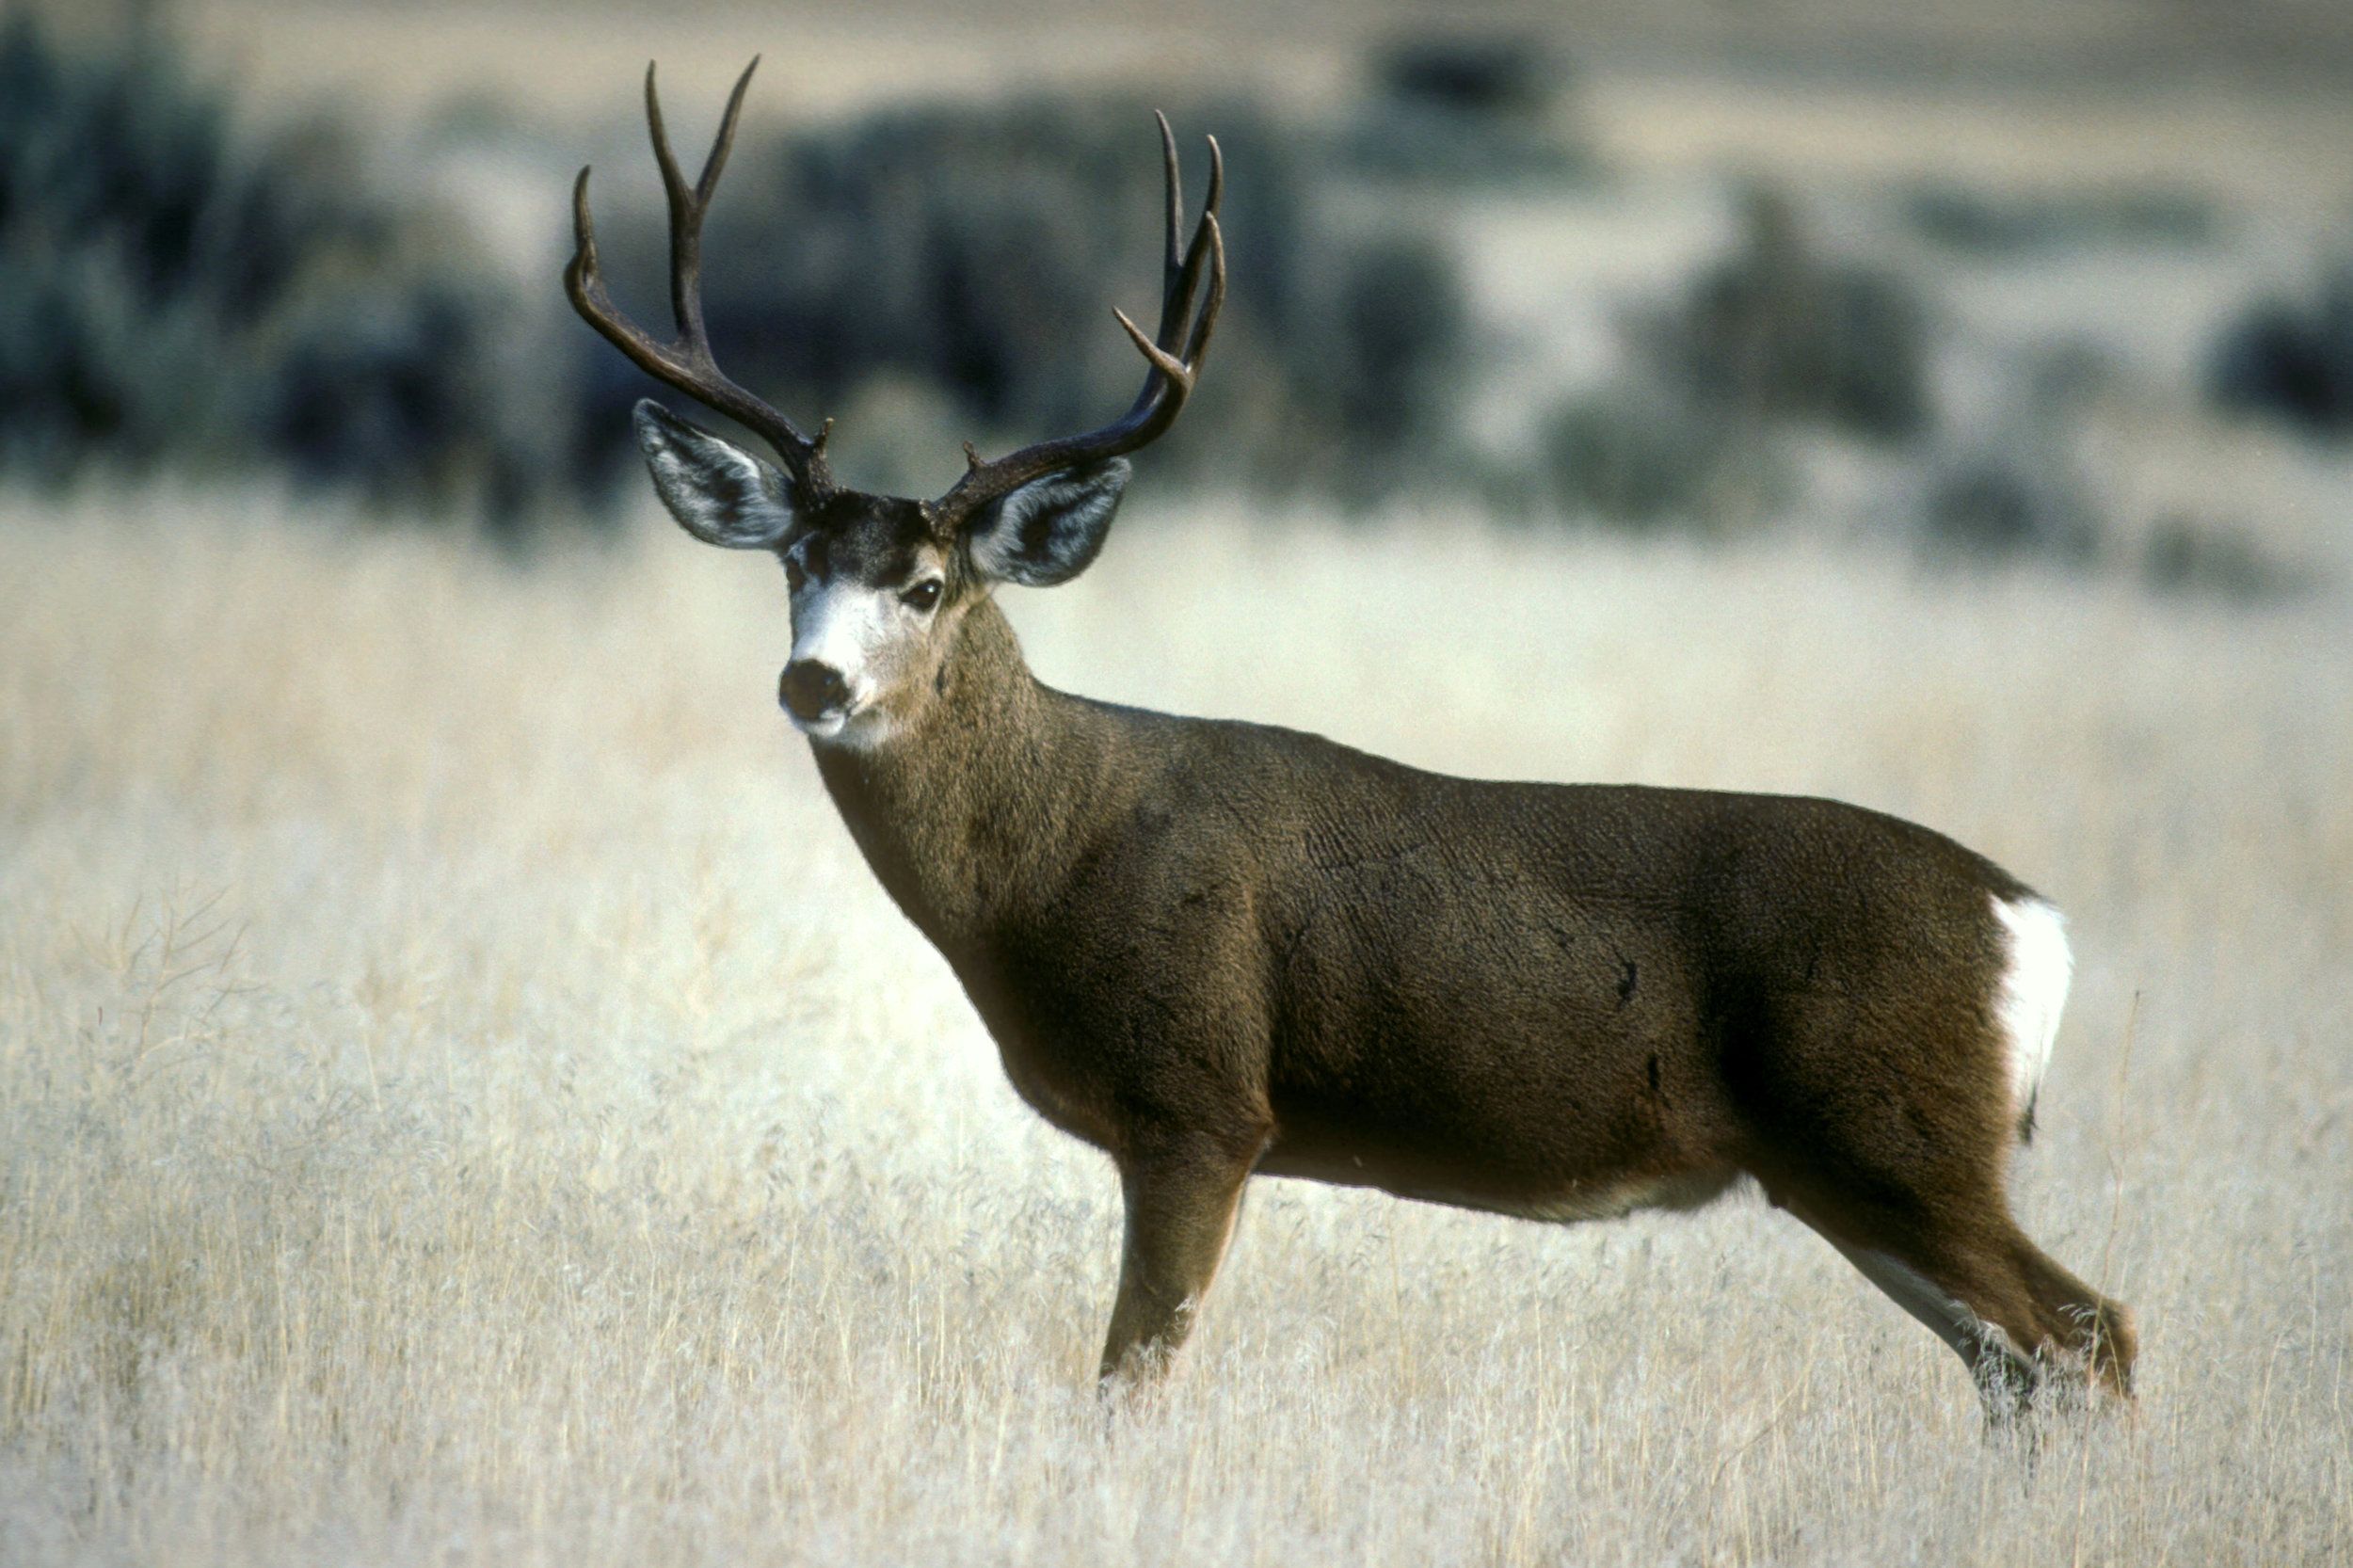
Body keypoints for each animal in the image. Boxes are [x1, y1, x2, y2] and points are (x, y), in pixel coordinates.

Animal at [567, 60, 2137, 1418]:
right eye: (793, 565)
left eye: (929, 584)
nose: (814, 680)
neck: (1053, 854)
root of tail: (2033, 923)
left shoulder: (1203, 1101)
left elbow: (1129, 1379)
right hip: (1850, 1166)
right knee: (2018, 1368)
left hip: (1896, 1135)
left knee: (2091, 1330)